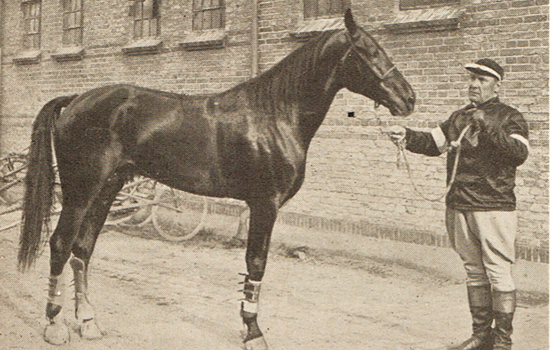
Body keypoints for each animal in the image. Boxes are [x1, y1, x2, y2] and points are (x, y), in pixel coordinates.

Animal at [17, 9, 416, 348]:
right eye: (368, 51)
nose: (409, 98)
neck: (274, 114)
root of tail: (75, 99)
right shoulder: (265, 204)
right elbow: (256, 263)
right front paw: (253, 332)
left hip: (107, 189)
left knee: (82, 250)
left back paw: (88, 322)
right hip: (81, 190)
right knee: (60, 244)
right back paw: (55, 325)